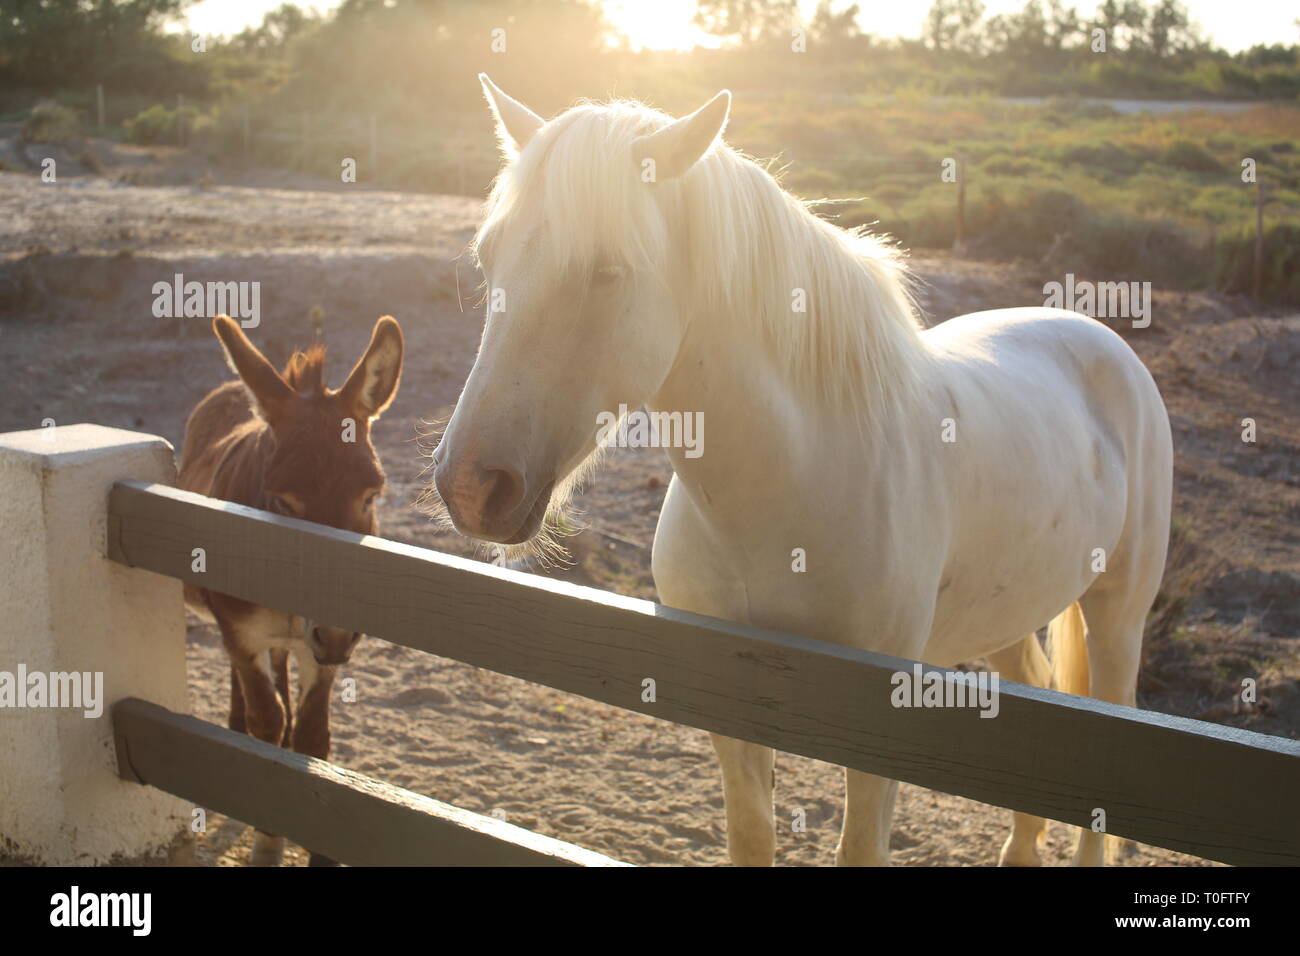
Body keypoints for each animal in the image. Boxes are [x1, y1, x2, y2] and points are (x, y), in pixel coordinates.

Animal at [431, 74, 1175, 868]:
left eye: (607, 270)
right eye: (488, 259)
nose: (469, 486)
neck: (789, 489)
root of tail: (1099, 337)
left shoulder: (878, 732)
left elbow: (859, 849)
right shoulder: (730, 711)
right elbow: (751, 834)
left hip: (1117, 617)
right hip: (1009, 612)